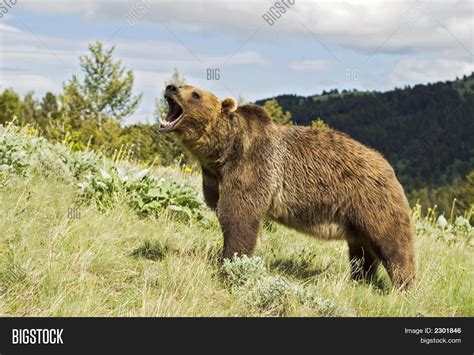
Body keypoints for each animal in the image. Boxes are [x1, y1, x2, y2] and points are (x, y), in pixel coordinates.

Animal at [159, 84, 414, 290]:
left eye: (195, 93)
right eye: (182, 85)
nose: (171, 87)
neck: (224, 152)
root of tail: (387, 166)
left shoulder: (254, 166)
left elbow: (240, 216)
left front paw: (231, 265)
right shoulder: (214, 177)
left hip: (372, 200)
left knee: (393, 243)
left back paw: (403, 285)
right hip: (356, 217)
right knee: (362, 250)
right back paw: (360, 279)